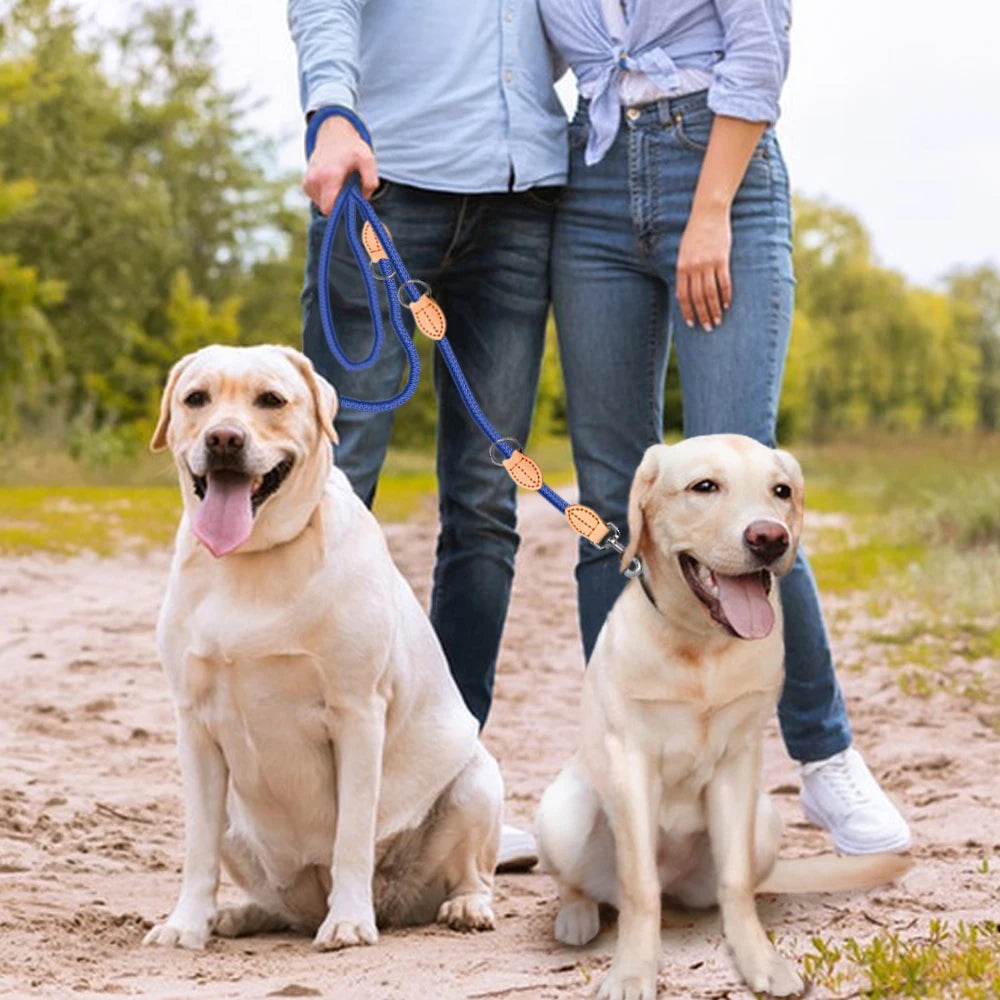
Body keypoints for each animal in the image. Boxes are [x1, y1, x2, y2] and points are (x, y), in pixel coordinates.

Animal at [143, 344, 500, 952]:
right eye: (196, 399)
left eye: (271, 400)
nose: (223, 439)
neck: (253, 557)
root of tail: (394, 903)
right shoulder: (194, 725)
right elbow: (197, 851)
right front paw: (185, 924)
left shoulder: (357, 714)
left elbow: (351, 834)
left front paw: (350, 922)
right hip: (238, 824)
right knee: (273, 900)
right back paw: (235, 915)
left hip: (477, 782)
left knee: (470, 872)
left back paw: (462, 907)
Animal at [536, 438, 912, 1000]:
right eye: (705, 487)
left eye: (781, 491)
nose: (770, 538)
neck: (702, 647)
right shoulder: (631, 761)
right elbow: (639, 886)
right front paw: (632, 972)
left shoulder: (739, 759)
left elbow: (735, 882)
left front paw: (759, 958)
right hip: (562, 812)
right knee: (588, 886)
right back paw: (576, 918)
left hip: (765, 822)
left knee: (727, 888)